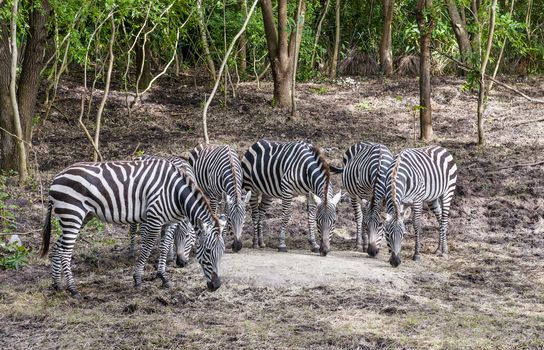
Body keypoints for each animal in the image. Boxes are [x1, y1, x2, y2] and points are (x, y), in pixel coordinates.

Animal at [41, 159, 225, 298]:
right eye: (208, 251)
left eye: (222, 252)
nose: (216, 286)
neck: (175, 193)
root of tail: (56, 177)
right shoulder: (154, 218)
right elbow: (147, 248)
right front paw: (137, 279)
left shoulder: (169, 221)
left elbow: (164, 247)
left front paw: (163, 278)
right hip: (73, 214)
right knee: (66, 251)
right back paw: (73, 290)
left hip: (80, 217)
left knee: (57, 247)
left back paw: (57, 284)